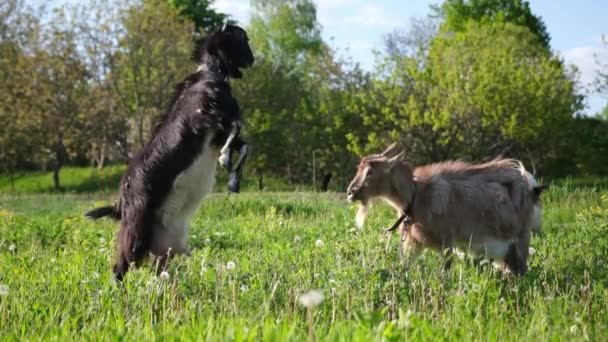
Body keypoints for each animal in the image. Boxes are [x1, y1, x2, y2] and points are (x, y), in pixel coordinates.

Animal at [84, 23, 253, 280]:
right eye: (243, 39)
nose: (253, 59)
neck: (210, 75)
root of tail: (121, 201)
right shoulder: (207, 118)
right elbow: (236, 127)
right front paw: (225, 159)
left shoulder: (217, 134)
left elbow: (244, 145)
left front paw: (234, 181)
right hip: (137, 228)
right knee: (120, 266)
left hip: (163, 246)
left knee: (156, 269)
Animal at [346, 144, 548, 276]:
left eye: (371, 171)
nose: (350, 192)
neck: (415, 196)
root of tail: (530, 185)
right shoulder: (414, 242)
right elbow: (404, 267)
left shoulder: (447, 242)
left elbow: (444, 272)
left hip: (521, 237)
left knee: (523, 270)